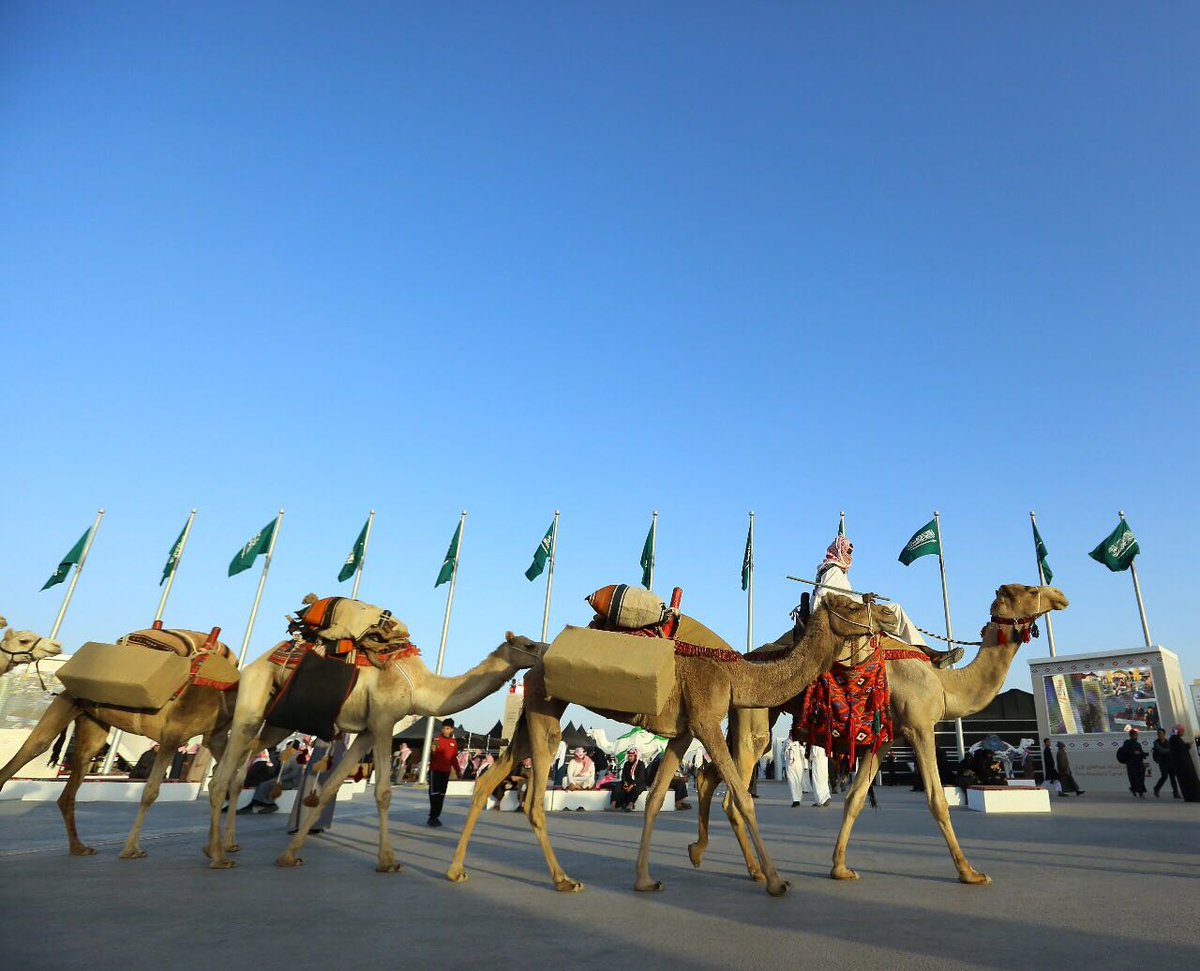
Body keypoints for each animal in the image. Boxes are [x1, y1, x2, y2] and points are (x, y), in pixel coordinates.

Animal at [0, 633, 241, 859]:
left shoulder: (216, 736)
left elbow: (230, 782)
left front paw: (224, 847)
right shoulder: (173, 734)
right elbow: (151, 791)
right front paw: (131, 849)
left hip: (92, 723)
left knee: (74, 778)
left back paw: (79, 847)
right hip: (65, 704)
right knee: (31, 749)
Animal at [205, 628, 544, 868]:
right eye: (527, 645)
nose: (545, 651)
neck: (420, 687)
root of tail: (253, 664)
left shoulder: (367, 731)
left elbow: (330, 788)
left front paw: (290, 854)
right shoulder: (383, 721)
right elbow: (382, 792)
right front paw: (388, 860)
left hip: (280, 719)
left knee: (243, 759)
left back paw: (219, 844)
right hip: (254, 699)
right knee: (224, 770)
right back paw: (219, 856)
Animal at [446, 595, 897, 897]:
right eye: (851, 604)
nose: (888, 612)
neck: (737, 677)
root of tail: (539, 654)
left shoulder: (682, 732)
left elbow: (656, 795)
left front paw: (646, 878)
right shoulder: (705, 717)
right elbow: (740, 795)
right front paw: (775, 880)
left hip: (531, 715)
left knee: (489, 779)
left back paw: (456, 870)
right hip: (545, 708)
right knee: (533, 800)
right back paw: (562, 879)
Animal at [691, 583, 1075, 888]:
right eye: (1029, 590)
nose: (1060, 595)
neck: (944, 686)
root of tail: (742, 661)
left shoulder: (886, 737)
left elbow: (856, 797)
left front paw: (840, 868)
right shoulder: (920, 726)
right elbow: (937, 800)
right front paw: (970, 872)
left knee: (711, 776)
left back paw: (709, 856)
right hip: (754, 718)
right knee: (735, 789)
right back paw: (757, 872)